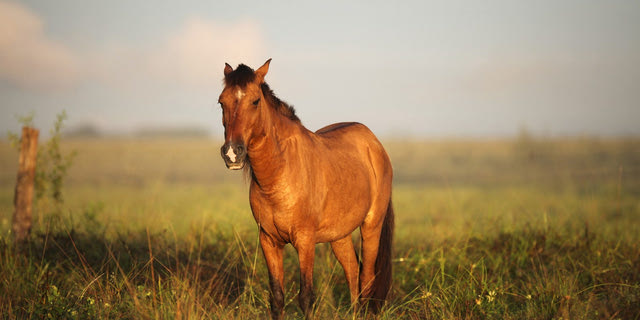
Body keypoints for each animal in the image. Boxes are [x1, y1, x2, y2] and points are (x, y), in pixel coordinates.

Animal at [218, 58, 392, 318]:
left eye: (255, 101)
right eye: (221, 102)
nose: (232, 153)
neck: (278, 175)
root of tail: (374, 143)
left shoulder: (305, 241)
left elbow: (306, 297)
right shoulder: (268, 240)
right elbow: (277, 297)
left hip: (371, 226)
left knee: (367, 278)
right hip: (339, 235)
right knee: (353, 272)